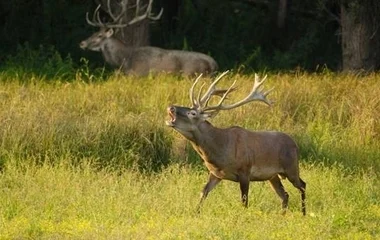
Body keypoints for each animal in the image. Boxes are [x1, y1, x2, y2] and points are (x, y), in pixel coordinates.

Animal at [78, 0, 218, 76]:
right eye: (95, 32)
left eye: (99, 36)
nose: (82, 43)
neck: (123, 61)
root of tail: (214, 65)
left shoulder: (136, 74)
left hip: (190, 73)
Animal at [166, 71, 306, 216]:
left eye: (192, 113)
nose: (171, 107)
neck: (220, 152)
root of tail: (295, 145)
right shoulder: (215, 173)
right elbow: (203, 192)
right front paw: (195, 213)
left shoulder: (245, 170)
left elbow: (244, 201)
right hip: (273, 176)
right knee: (285, 195)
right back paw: (283, 215)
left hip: (292, 167)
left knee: (302, 185)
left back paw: (303, 213)